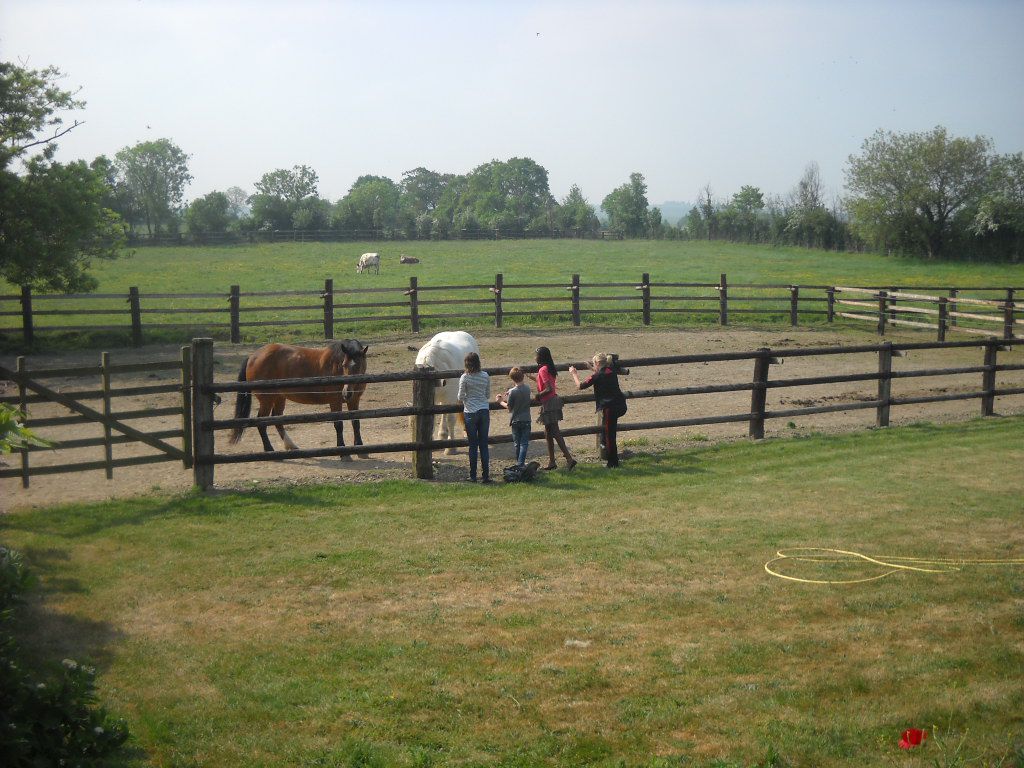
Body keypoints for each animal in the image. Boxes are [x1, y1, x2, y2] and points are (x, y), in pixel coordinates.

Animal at [229, 339, 369, 459]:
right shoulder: (335, 401)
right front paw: (343, 452)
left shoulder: (354, 400)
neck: (335, 365)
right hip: (267, 400)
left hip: (279, 397)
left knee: (277, 420)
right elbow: (338, 425)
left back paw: (291, 446)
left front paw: (360, 448)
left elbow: (356, 422)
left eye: (359, 365)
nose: (347, 393)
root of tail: (253, 356)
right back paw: (269, 449)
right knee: (261, 422)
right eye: (343, 364)